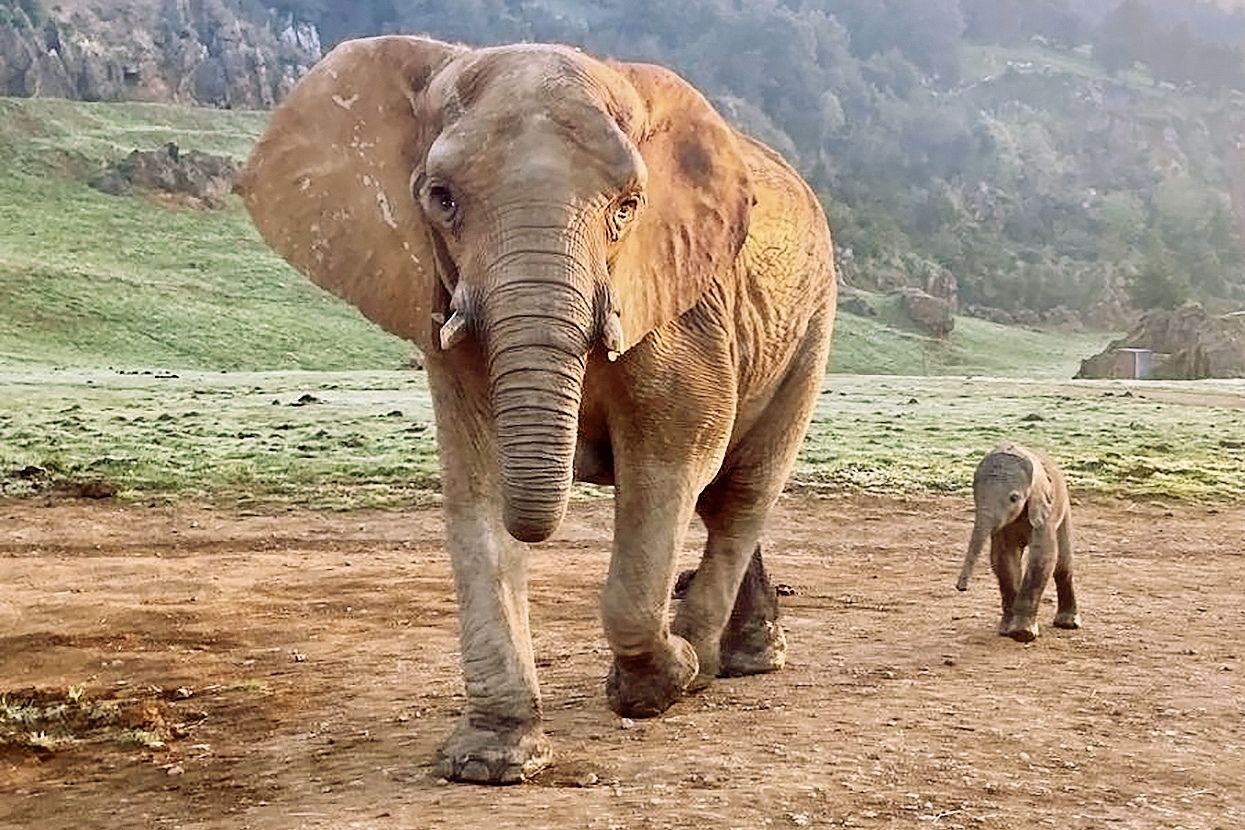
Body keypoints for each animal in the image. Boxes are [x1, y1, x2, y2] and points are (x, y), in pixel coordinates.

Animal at [235, 35, 837, 784]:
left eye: (627, 207)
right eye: (441, 199)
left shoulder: (683, 307)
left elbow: (669, 462)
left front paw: (659, 683)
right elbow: (476, 484)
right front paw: (490, 762)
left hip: (811, 325)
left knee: (738, 492)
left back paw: (711, 665)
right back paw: (731, 657)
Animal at [956, 442, 1081, 642]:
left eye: (1014, 498)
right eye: (975, 496)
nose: (961, 588)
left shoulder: (1044, 510)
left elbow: (1042, 556)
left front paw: (1023, 634)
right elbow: (1004, 558)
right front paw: (1007, 631)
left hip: (1065, 509)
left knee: (1063, 565)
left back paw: (1068, 624)